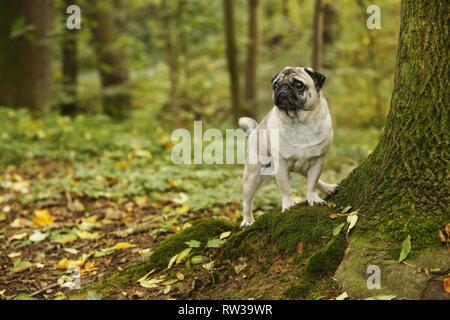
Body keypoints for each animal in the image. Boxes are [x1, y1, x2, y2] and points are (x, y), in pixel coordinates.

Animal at [239, 67, 338, 228]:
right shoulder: (281, 165)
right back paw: (247, 220)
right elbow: (285, 188)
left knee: (311, 179)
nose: (283, 87)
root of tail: (255, 130)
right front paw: (288, 205)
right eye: (275, 85)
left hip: (304, 165)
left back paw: (328, 188)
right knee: (247, 201)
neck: (299, 122)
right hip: (252, 175)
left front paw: (313, 199)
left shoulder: (317, 161)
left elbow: (312, 184)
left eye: (298, 85)